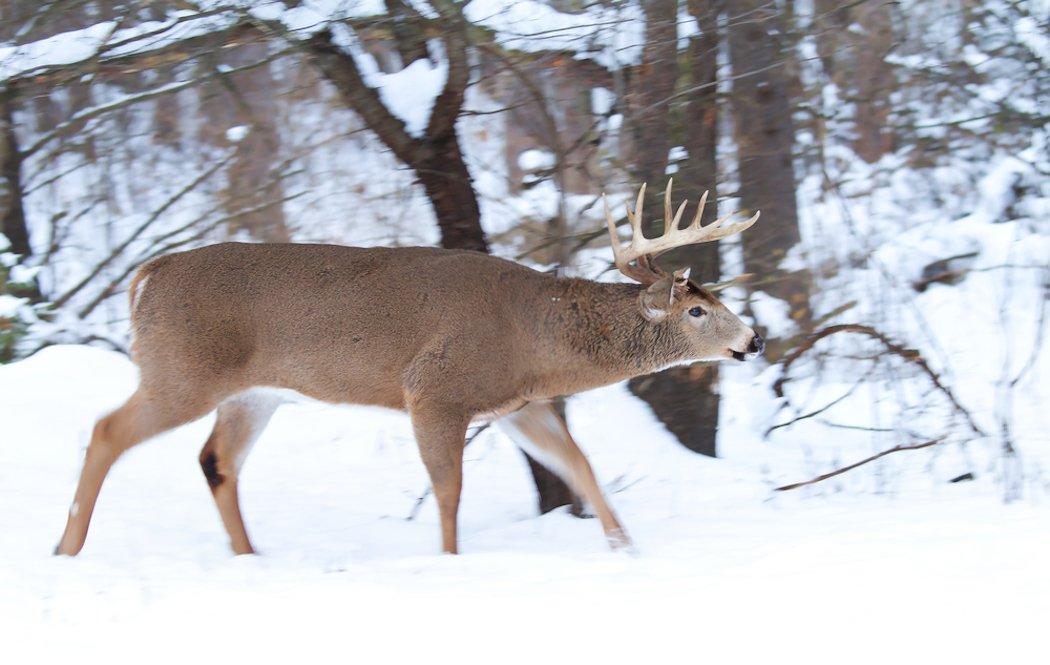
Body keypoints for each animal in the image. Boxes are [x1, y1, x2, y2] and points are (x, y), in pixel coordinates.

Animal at [55, 180, 764, 554]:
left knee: (216, 461)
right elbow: (449, 489)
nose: (754, 340)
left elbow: (580, 465)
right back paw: (68, 549)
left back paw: (249, 556)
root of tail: (146, 275)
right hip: (182, 370)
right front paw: (450, 559)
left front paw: (625, 547)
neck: (535, 340)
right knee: (105, 430)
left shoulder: (519, 404)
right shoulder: (434, 389)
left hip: (252, 394)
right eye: (698, 309)